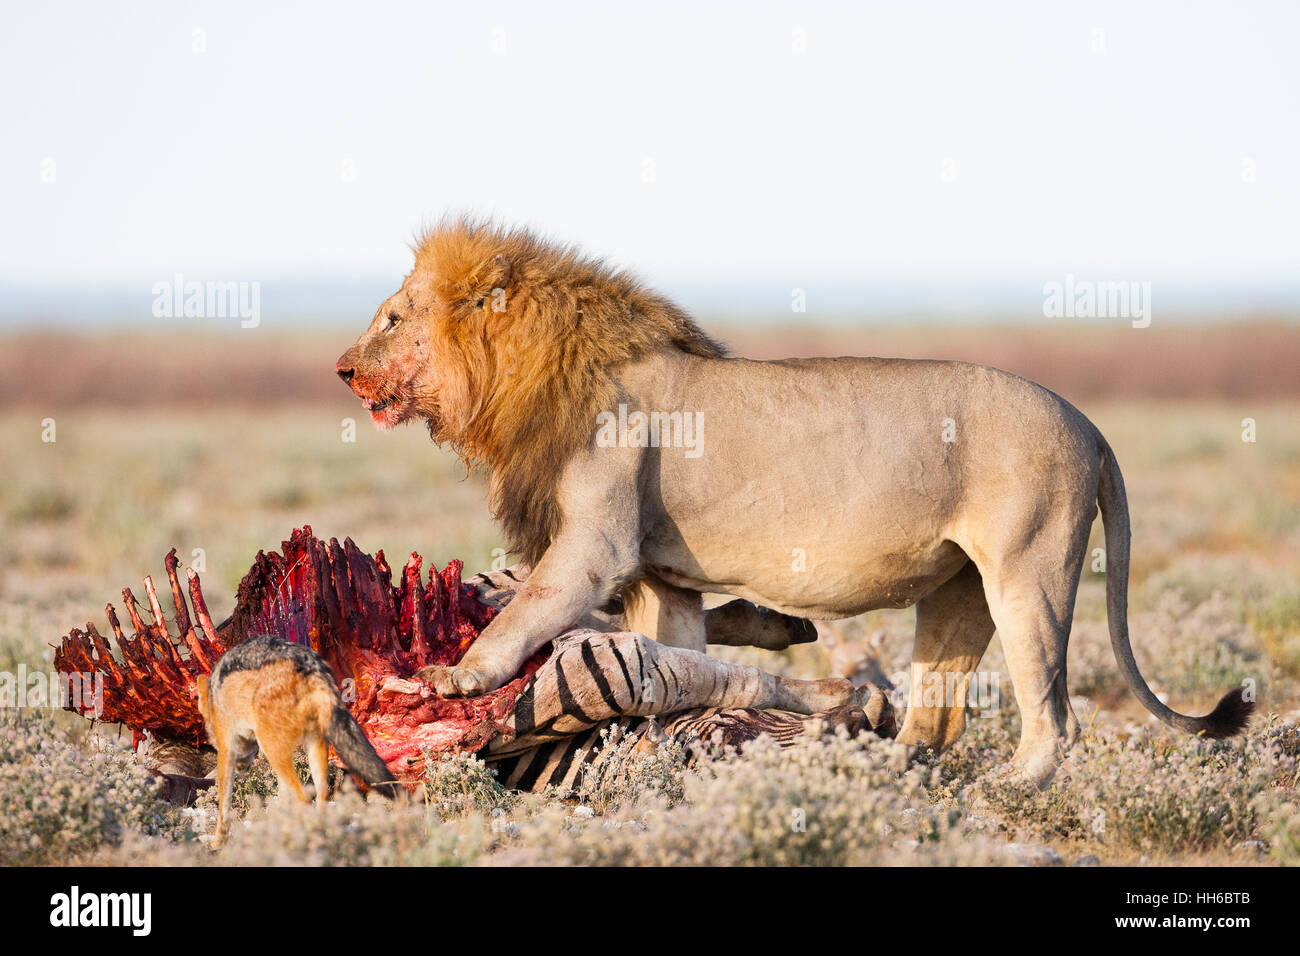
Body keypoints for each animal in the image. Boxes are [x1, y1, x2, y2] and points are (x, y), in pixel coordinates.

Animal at [338, 217, 1258, 785]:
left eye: (392, 319)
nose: (342, 369)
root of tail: (1089, 423)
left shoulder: (595, 544)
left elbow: (529, 609)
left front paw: (457, 673)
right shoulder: (665, 582)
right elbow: (675, 661)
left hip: (1029, 572)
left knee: (1054, 719)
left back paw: (1008, 785)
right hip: (960, 592)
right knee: (937, 718)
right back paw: (882, 770)